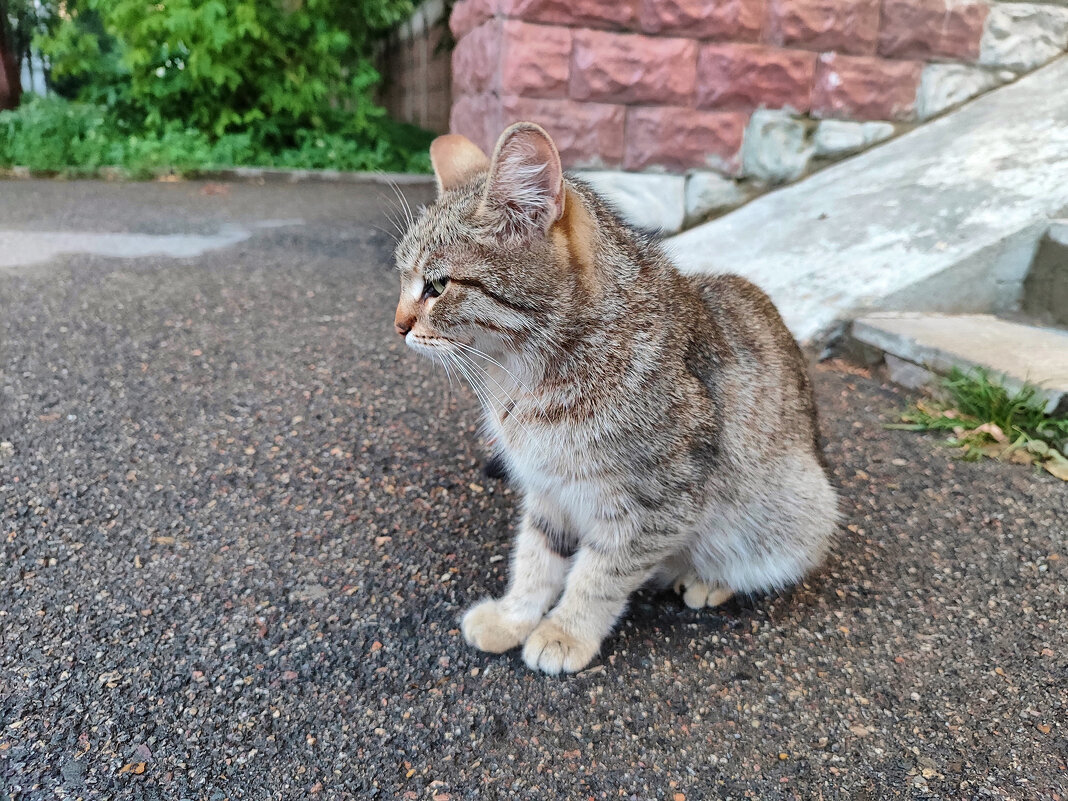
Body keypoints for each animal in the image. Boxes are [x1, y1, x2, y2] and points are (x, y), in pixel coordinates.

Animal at [395, 122, 841, 674]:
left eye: (437, 286)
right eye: (401, 278)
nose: (398, 326)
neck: (525, 381)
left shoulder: (657, 502)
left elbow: (599, 577)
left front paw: (564, 632)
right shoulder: (547, 489)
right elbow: (534, 560)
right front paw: (513, 617)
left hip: (803, 507)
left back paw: (709, 580)